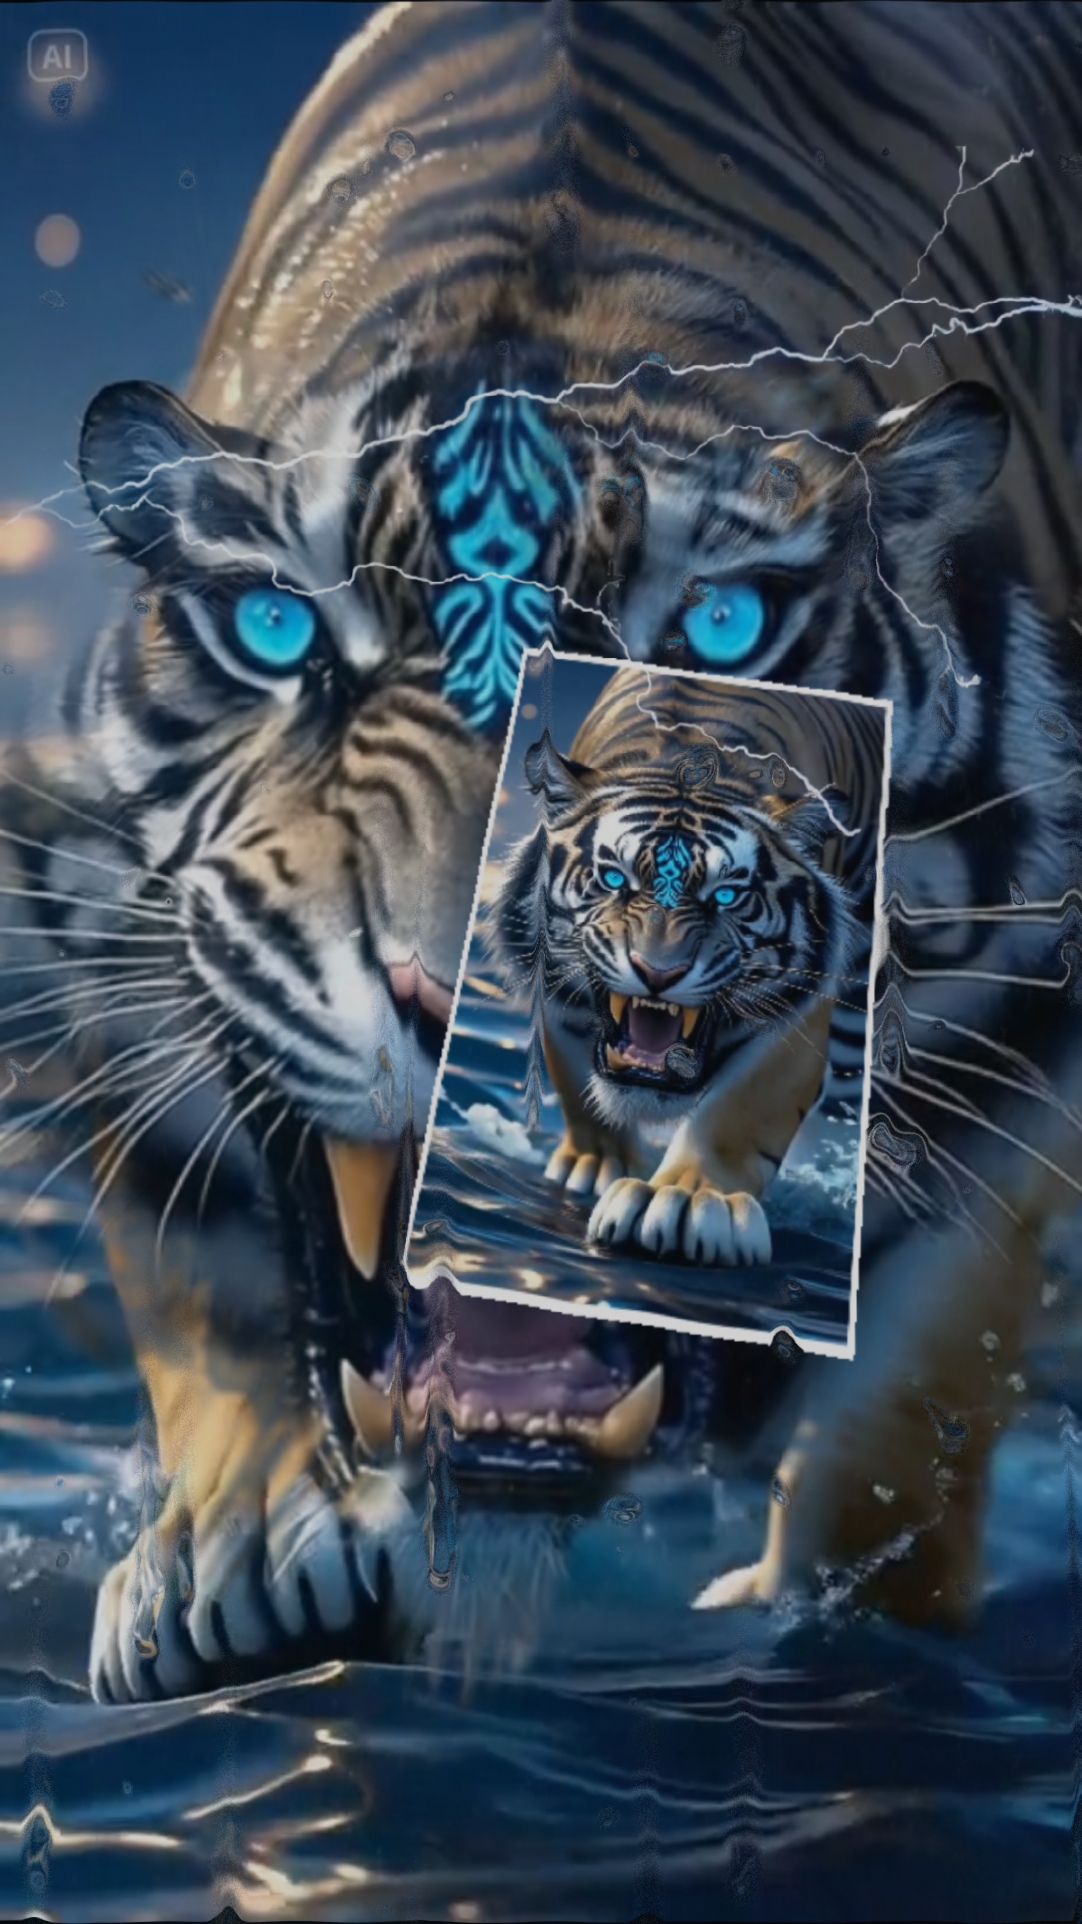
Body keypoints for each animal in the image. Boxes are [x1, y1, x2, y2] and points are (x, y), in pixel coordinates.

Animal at [492, 666, 887, 1269]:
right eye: (614, 879)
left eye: (725, 895)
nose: (658, 972)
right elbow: (578, 1083)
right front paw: (599, 1165)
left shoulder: (796, 1017)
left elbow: (739, 1109)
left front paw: (686, 1200)